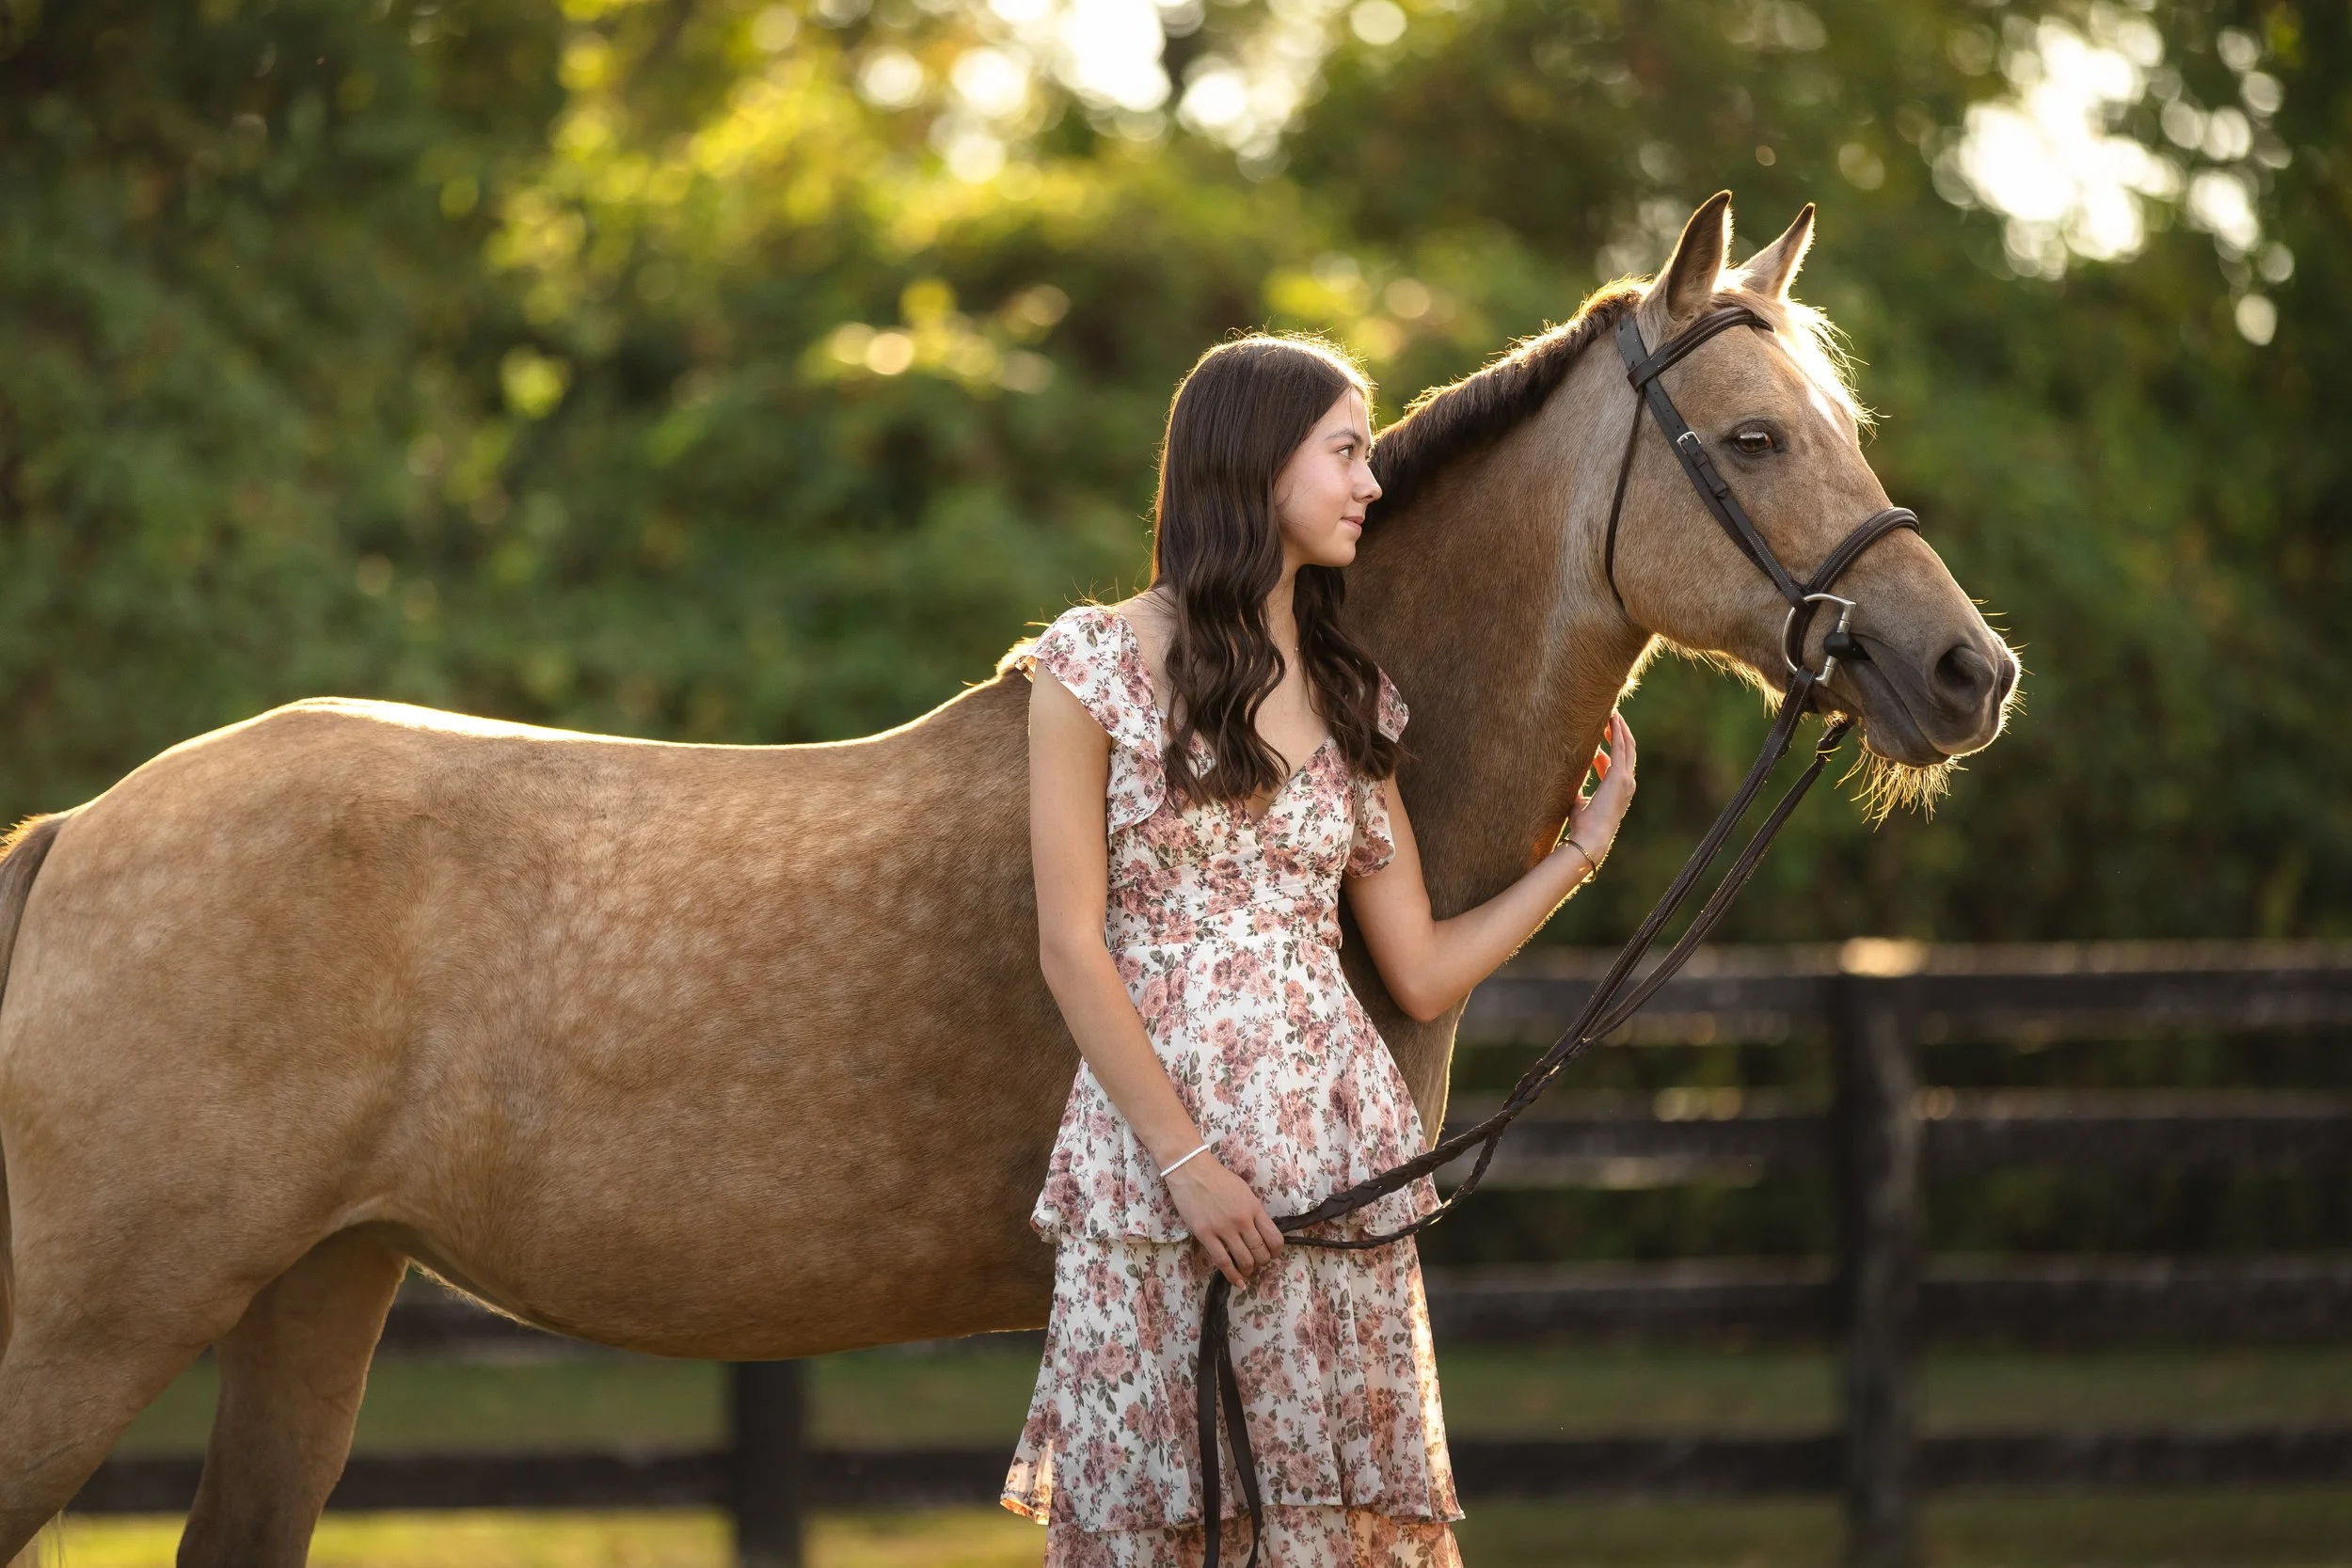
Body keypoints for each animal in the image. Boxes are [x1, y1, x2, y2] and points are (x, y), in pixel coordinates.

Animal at [0, 194, 2014, 1562]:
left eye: (1841, 424)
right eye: (1751, 436)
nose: (1965, 670)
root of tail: (81, 834)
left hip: (314, 1290)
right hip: (95, 1316)